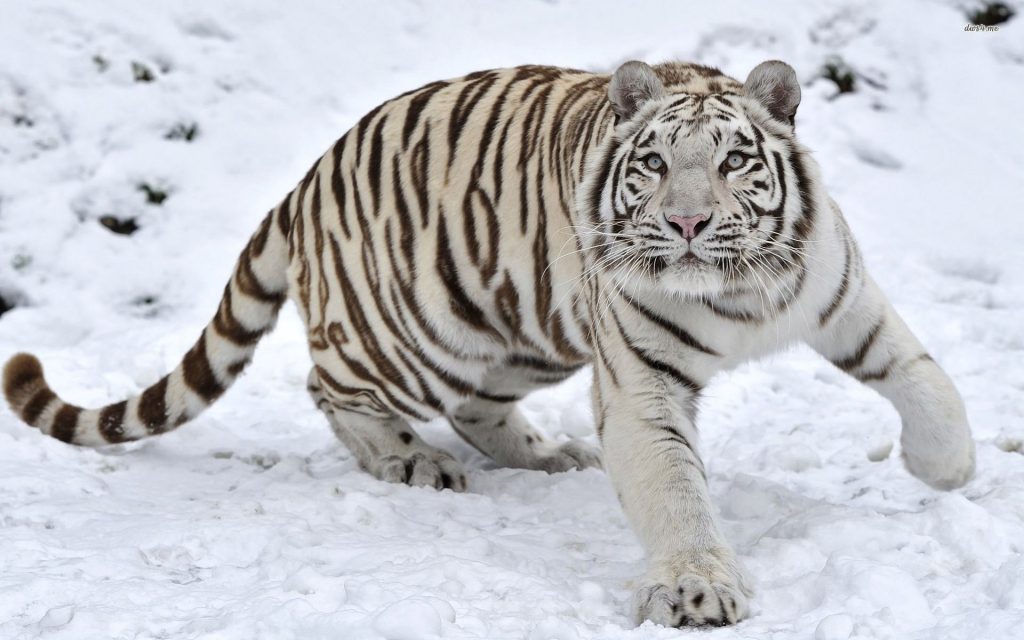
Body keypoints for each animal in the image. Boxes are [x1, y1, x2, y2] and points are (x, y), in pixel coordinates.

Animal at [0, 57, 974, 626]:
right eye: (656, 164)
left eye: (735, 160)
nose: (689, 223)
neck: (736, 292)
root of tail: (306, 178)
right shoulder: (642, 384)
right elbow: (677, 494)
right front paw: (695, 588)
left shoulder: (842, 297)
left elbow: (924, 376)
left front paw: (946, 469)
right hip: (407, 334)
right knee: (330, 387)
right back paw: (411, 460)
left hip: (519, 331)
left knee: (476, 407)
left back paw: (548, 456)